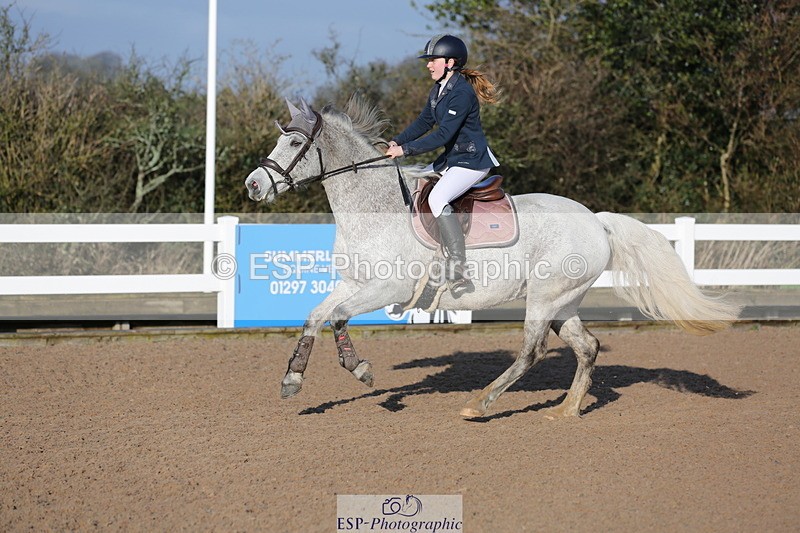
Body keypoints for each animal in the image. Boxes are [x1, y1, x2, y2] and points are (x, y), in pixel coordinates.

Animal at [244, 96, 740, 418]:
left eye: (294, 145)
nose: (253, 185)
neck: (374, 207)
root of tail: (596, 219)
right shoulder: (354, 283)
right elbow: (317, 315)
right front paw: (297, 379)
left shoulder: (388, 287)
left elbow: (336, 316)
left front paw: (359, 370)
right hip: (563, 302)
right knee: (587, 347)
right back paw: (567, 410)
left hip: (544, 297)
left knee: (532, 351)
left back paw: (480, 404)